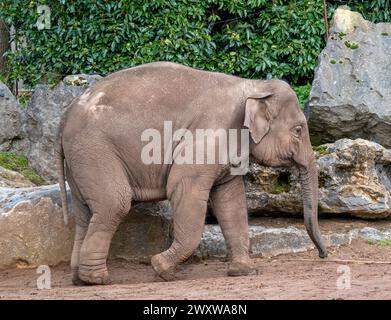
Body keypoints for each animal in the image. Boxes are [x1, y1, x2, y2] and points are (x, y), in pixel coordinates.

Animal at [56, 60, 328, 284]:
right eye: (298, 130)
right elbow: (184, 189)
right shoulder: (208, 135)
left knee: (86, 211)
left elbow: (231, 202)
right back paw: (97, 279)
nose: (323, 255)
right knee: (115, 203)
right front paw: (162, 269)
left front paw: (244, 272)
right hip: (94, 150)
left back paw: (79, 278)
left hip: (80, 159)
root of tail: (64, 118)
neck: (252, 85)